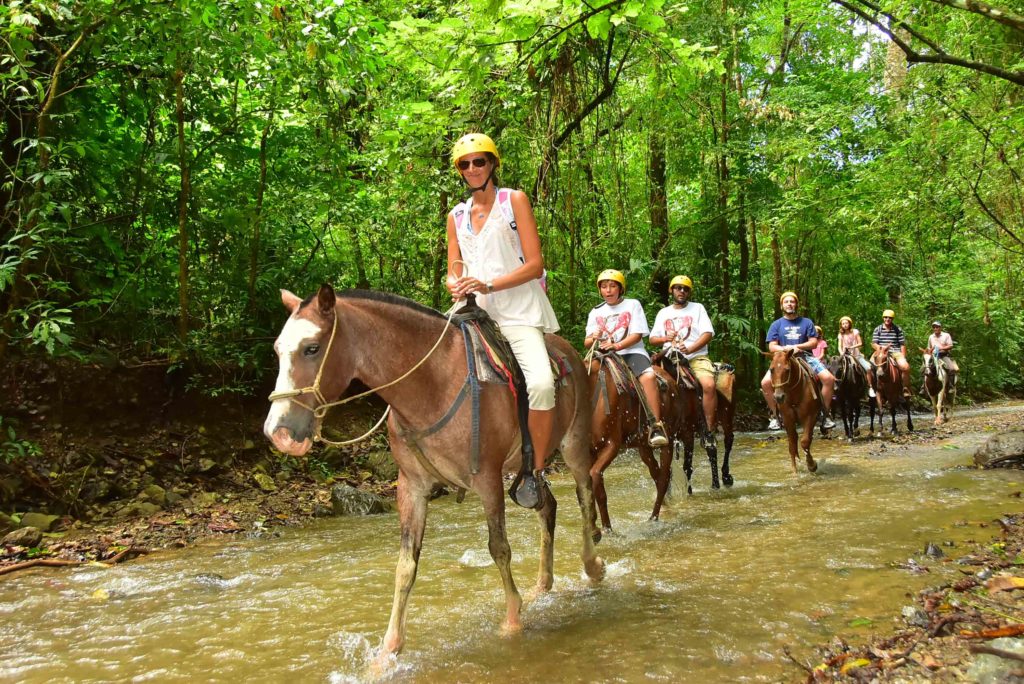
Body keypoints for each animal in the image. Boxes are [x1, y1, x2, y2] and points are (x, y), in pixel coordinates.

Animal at [262, 282, 606, 655]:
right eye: (277, 350)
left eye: (311, 348)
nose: (279, 432)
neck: (433, 386)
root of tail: (568, 350)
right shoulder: (411, 486)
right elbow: (405, 564)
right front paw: (389, 648)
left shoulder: (487, 479)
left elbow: (499, 548)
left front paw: (512, 621)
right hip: (528, 468)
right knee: (547, 506)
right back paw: (543, 584)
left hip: (574, 443)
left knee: (584, 495)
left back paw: (593, 566)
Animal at [589, 352, 684, 528]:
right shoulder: (591, 450)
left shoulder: (611, 446)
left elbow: (597, 480)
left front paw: (607, 529)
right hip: (643, 446)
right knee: (656, 473)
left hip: (668, 441)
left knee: (663, 478)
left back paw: (654, 517)